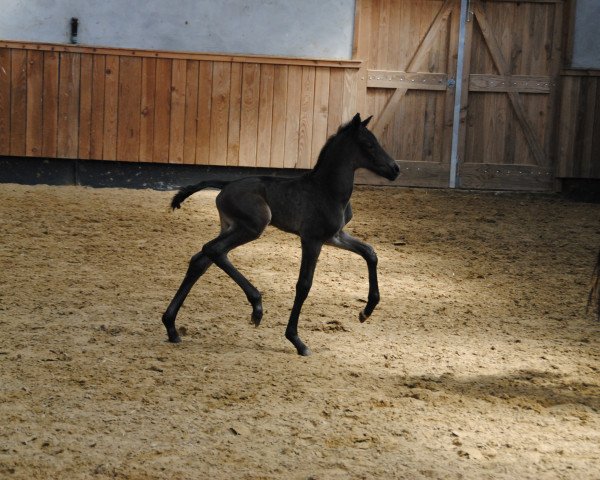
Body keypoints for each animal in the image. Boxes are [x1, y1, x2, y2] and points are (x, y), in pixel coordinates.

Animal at [162, 114, 400, 354]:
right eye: (368, 144)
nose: (395, 169)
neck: (327, 190)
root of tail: (226, 184)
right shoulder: (312, 239)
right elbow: (304, 285)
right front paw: (296, 340)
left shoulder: (335, 236)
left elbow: (370, 253)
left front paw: (366, 311)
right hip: (253, 226)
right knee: (213, 249)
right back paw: (256, 306)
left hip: (231, 226)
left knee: (201, 259)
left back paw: (171, 327)